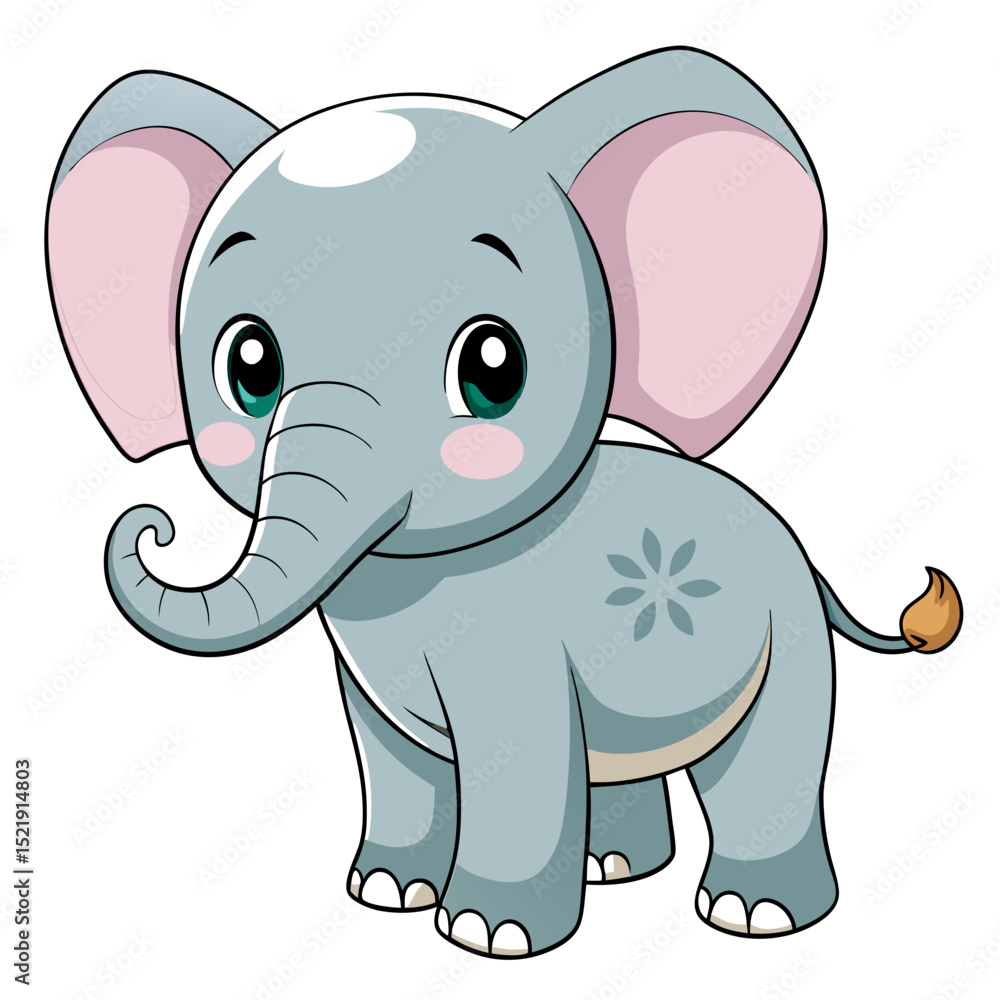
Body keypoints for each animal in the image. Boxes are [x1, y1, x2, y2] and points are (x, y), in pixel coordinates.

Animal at [46, 48, 962, 958]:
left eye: (493, 367)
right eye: (248, 365)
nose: (149, 525)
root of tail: (803, 552)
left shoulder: (513, 644)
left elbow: (517, 753)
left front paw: (490, 936)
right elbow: (391, 754)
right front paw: (386, 892)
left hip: (787, 638)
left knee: (763, 765)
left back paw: (754, 914)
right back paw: (616, 869)